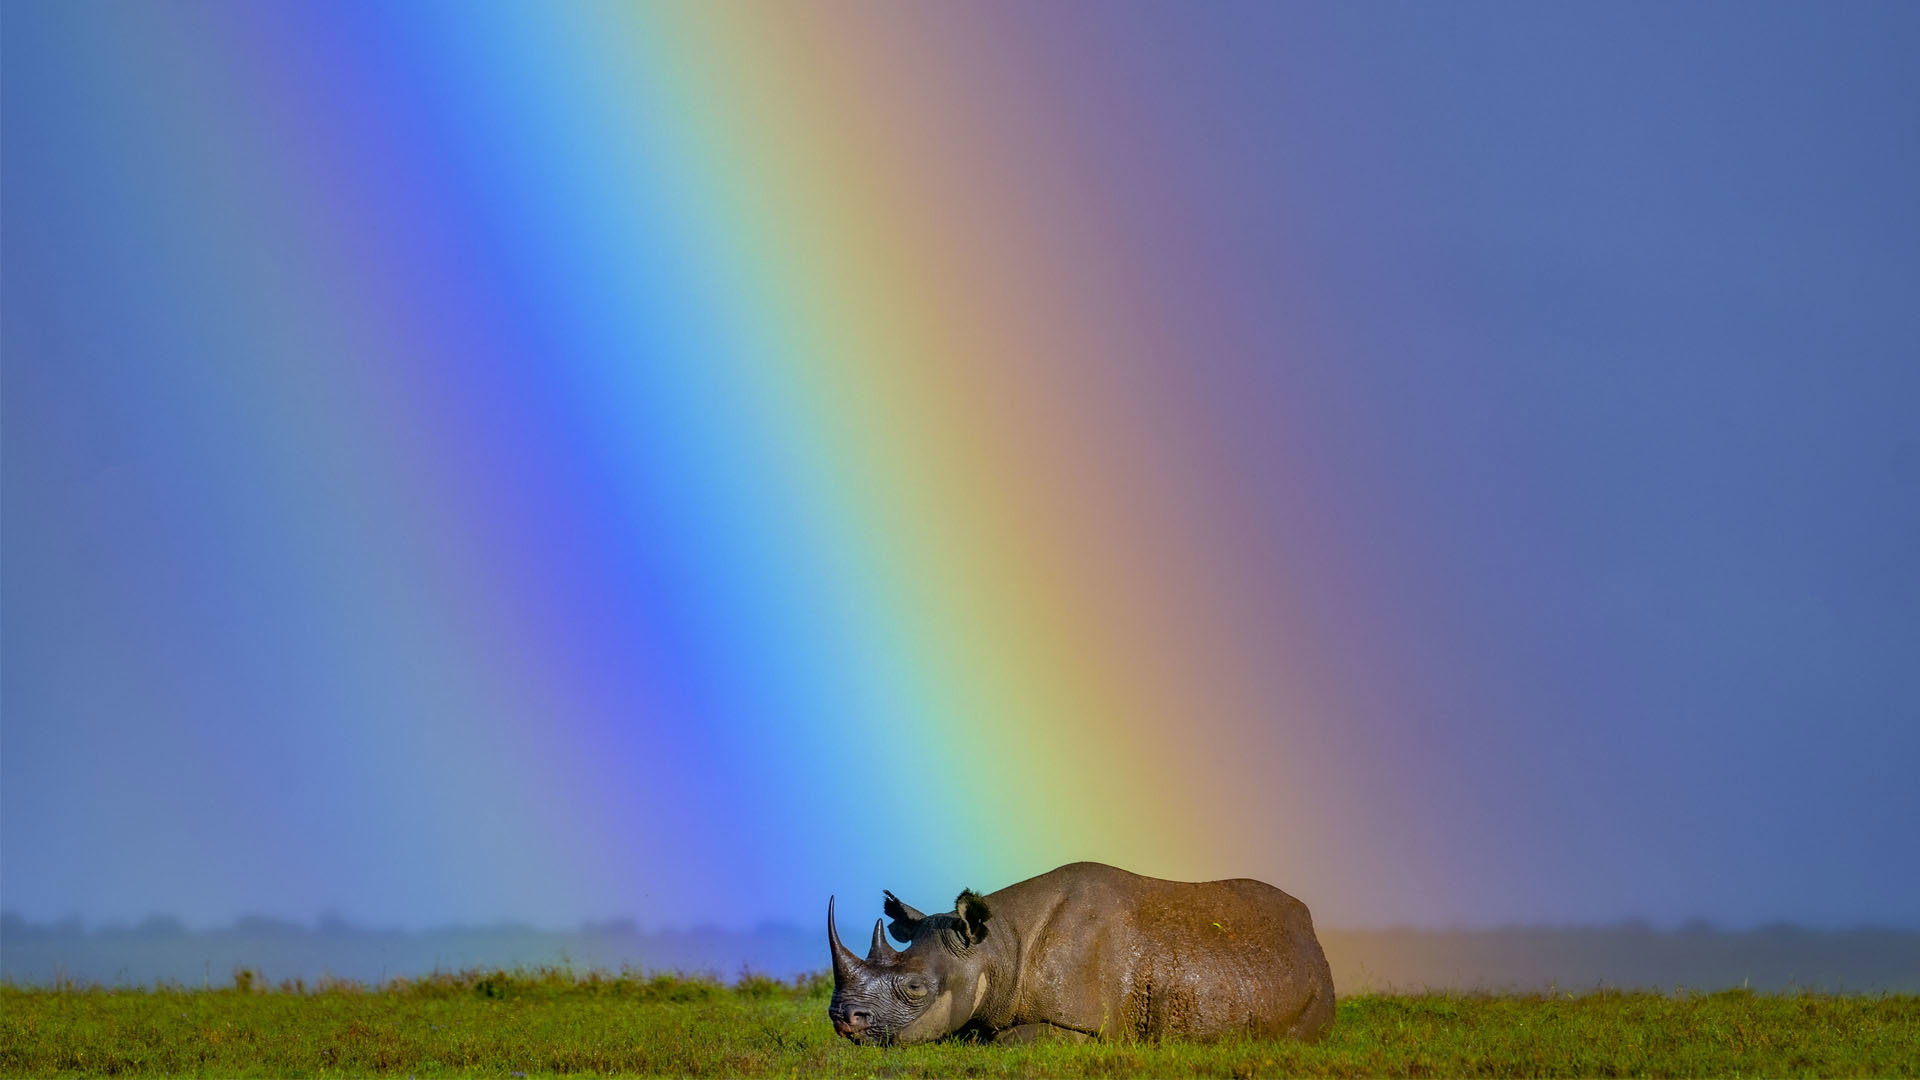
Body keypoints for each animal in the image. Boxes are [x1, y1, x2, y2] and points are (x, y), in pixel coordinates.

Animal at [826, 861, 1334, 1045]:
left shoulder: (1081, 1023)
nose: (843, 1020)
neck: (997, 948)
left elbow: (1006, 1041)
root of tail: (1310, 929)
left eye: (915, 988)